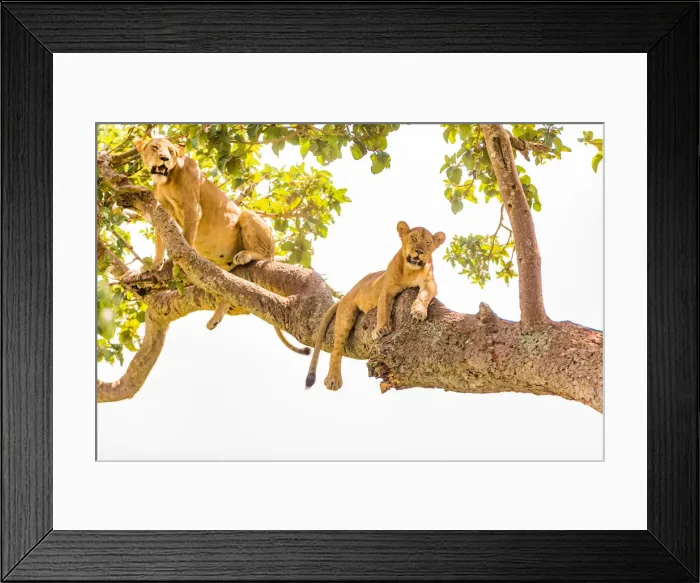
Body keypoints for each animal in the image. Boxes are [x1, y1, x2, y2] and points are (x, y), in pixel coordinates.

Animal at [134, 136, 309, 355]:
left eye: (171, 151)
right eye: (155, 147)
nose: (164, 159)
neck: (166, 181)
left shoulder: (193, 208)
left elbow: (186, 239)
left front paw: (175, 264)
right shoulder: (160, 209)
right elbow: (160, 239)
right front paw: (156, 265)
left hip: (247, 216)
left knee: (266, 255)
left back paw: (244, 255)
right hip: (219, 273)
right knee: (228, 290)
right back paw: (215, 318)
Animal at [305, 221, 446, 391]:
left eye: (428, 243)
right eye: (414, 238)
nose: (419, 251)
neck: (410, 270)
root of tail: (349, 292)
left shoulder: (430, 283)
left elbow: (424, 296)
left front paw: (419, 311)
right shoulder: (386, 290)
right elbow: (383, 310)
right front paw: (381, 329)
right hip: (346, 314)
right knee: (336, 348)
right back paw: (333, 378)